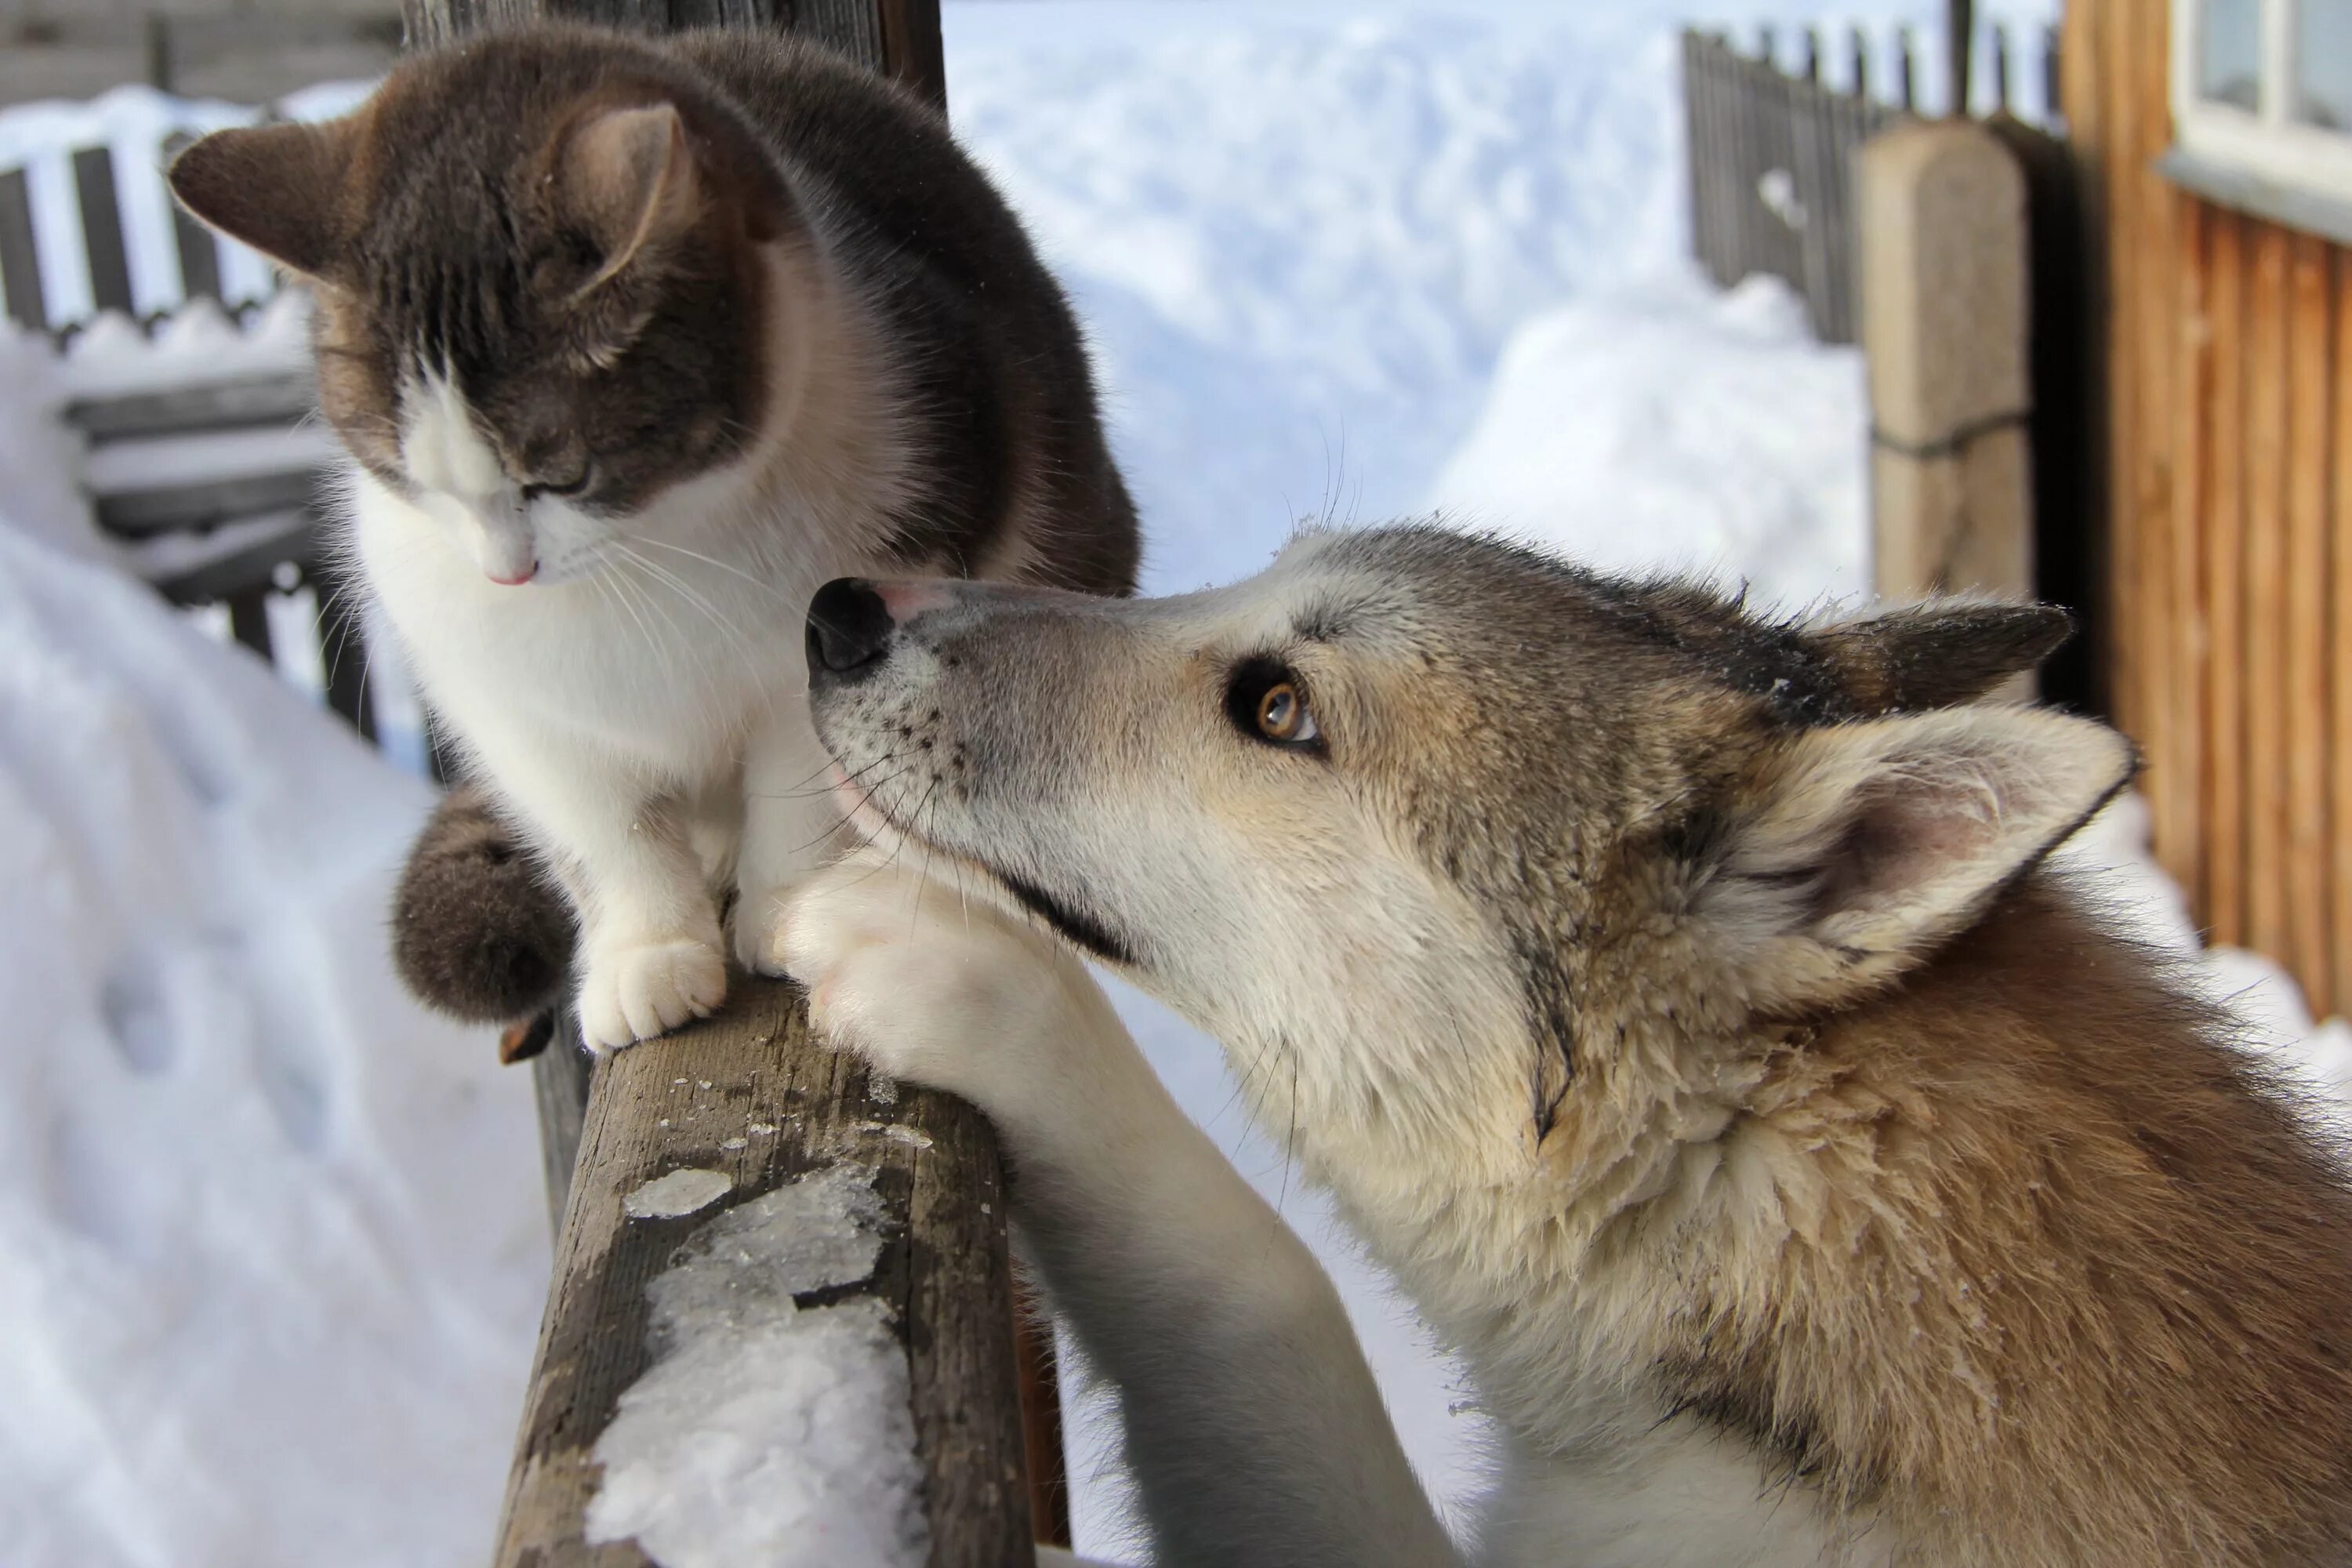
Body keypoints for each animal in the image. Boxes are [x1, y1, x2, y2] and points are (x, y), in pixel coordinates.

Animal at [170, 24, 1143, 1048]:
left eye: (561, 475)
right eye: (412, 476)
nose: (506, 573)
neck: (645, 559)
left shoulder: (870, 589)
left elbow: (799, 783)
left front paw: (787, 912)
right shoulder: (507, 706)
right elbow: (606, 835)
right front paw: (647, 955)